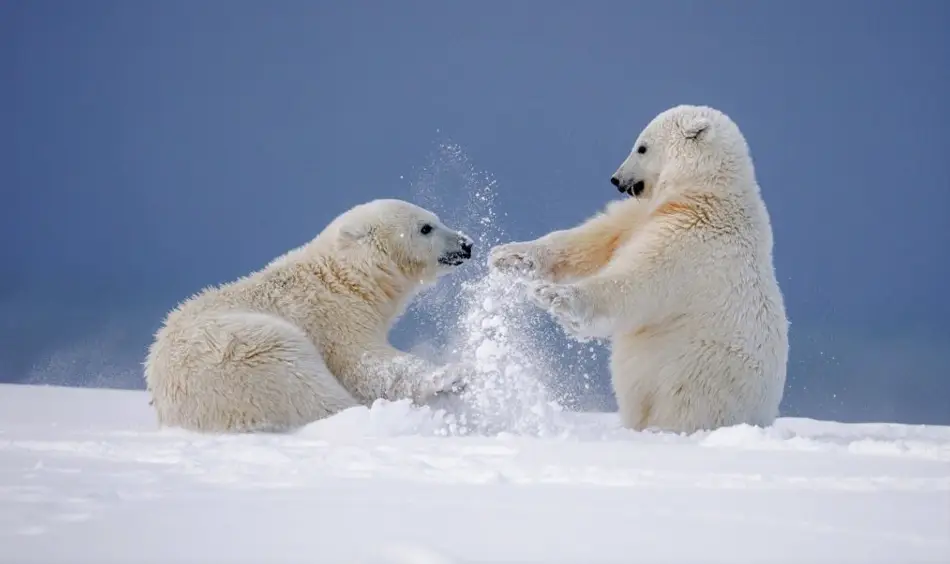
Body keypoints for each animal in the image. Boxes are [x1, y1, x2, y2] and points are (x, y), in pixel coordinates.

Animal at [144, 198, 476, 432]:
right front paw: (453, 374)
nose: (467, 244)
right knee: (307, 388)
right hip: (248, 353)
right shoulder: (334, 317)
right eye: (425, 227)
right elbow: (365, 363)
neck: (347, 278)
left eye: (436, 219)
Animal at [490, 104, 788, 432]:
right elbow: (594, 238)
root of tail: (764, 416)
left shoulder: (694, 241)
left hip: (699, 373)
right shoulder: (641, 213)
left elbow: (637, 280)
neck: (707, 194)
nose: (616, 179)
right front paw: (509, 256)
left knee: (680, 404)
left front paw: (554, 297)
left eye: (642, 147)